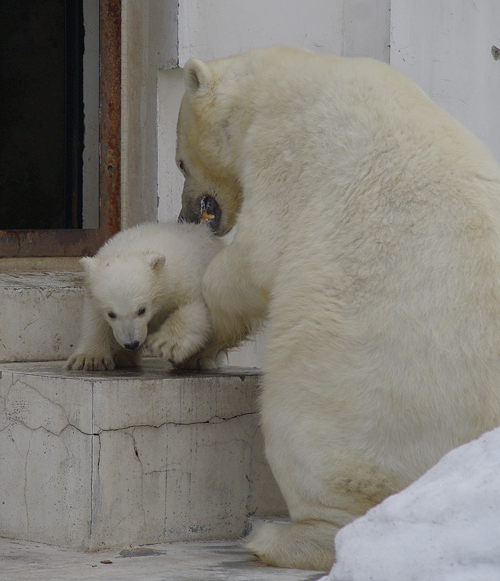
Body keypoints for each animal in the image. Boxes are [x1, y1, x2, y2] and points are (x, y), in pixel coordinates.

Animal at [177, 46, 500, 572]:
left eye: (181, 162)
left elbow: (255, 257)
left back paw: (279, 538)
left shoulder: (285, 149)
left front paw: (194, 343)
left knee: (309, 434)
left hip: (364, 394)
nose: (186, 213)